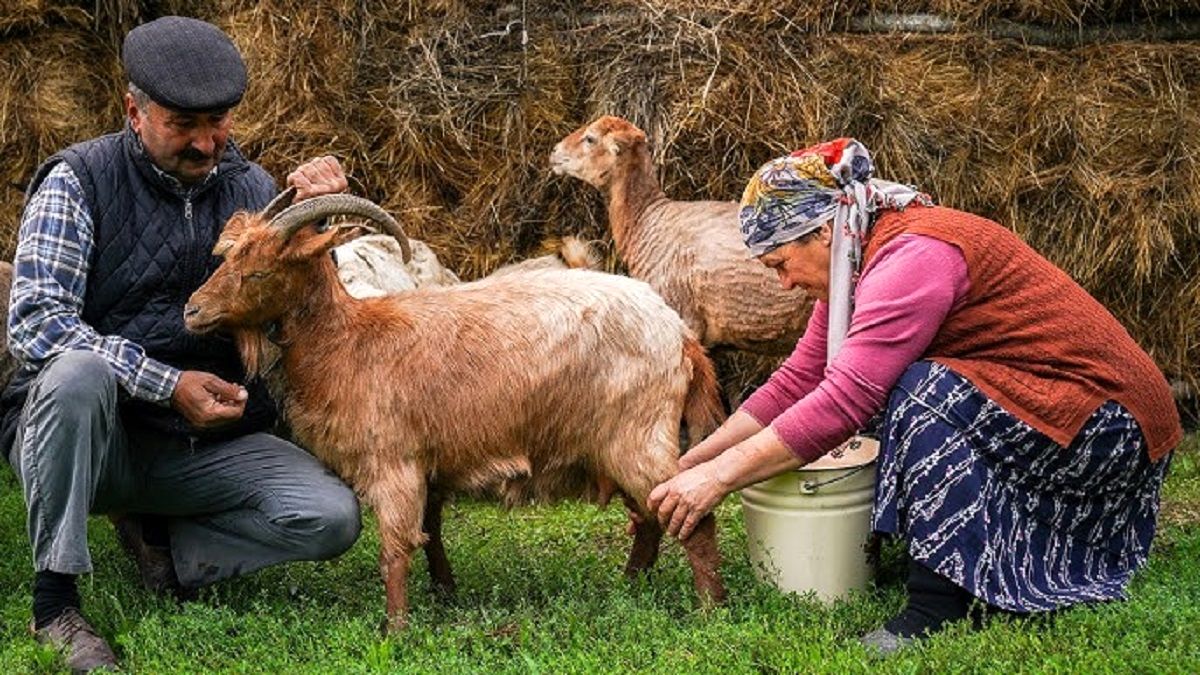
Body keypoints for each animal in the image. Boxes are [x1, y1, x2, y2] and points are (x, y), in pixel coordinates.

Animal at [186, 190, 724, 629]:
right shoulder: (429, 465)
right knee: (649, 519)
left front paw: (395, 631)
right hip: (614, 446)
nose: (192, 310)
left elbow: (395, 550)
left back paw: (709, 607)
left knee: (689, 515)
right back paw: (631, 585)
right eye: (227, 258)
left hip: (637, 437)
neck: (349, 342)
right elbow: (431, 533)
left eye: (260, 271)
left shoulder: (394, 463)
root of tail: (680, 336)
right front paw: (444, 593)